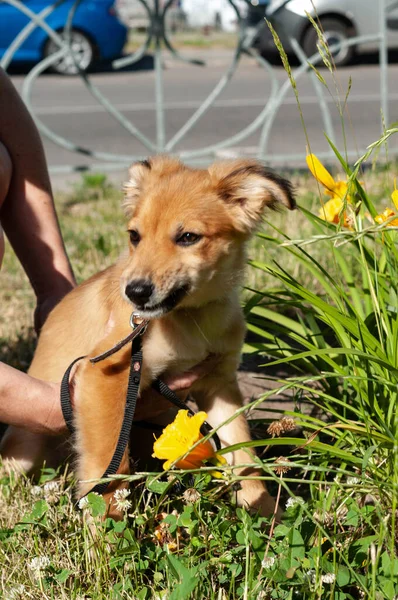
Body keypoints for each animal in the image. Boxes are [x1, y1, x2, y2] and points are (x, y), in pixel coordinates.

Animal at [0, 158, 296, 516]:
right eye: (134, 236)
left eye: (188, 237)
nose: (135, 293)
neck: (189, 319)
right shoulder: (106, 374)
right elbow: (109, 462)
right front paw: (106, 523)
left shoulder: (219, 383)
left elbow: (242, 449)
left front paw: (263, 508)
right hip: (25, 447)